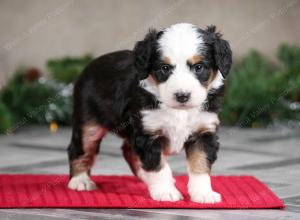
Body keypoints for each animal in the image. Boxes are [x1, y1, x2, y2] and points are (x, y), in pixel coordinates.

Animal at [68, 23, 232, 204]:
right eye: (165, 68)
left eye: (199, 67)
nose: (182, 96)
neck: (178, 111)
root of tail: (89, 65)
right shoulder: (148, 132)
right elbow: (158, 166)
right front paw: (165, 192)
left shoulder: (204, 131)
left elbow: (200, 164)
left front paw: (203, 193)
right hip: (89, 124)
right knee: (80, 148)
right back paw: (80, 180)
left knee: (128, 150)